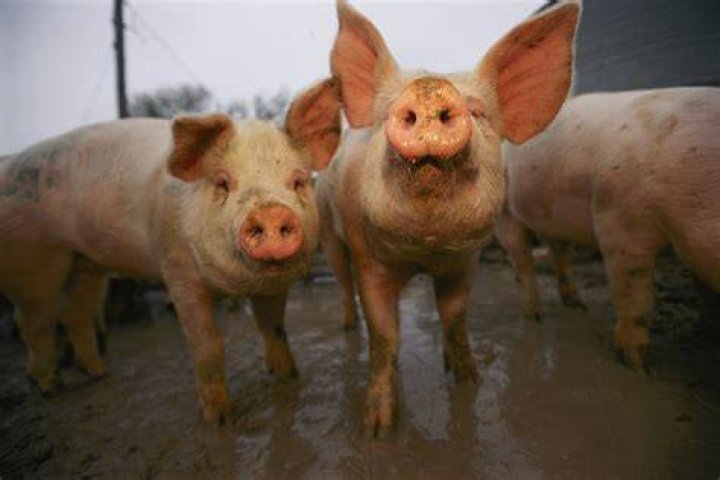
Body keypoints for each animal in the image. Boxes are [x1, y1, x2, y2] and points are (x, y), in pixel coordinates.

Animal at [0, 78, 341, 423]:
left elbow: (274, 328)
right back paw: (51, 388)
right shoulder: (176, 267)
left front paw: (288, 378)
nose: (271, 211)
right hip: (34, 262)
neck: (238, 285)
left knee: (75, 314)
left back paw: (99, 374)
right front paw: (219, 419)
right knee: (35, 323)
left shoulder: (273, 285)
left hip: (84, 264)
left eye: (298, 182)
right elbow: (207, 343)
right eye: (222, 183)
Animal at [315, 0, 580, 435]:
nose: (428, 88)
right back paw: (348, 327)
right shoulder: (369, 257)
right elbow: (384, 335)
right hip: (328, 232)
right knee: (341, 283)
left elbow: (455, 320)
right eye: (385, 113)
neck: (425, 251)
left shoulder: (464, 261)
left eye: (478, 111)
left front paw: (470, 381)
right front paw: (377, 429)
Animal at [496, 87, 720, 371]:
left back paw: (577, 305)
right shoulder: (619, 218)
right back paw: (535, 316)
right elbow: (634, 295)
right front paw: (638, 366)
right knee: (521, 260)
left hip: (552, 218)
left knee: (559, 252)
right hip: (505, 210)